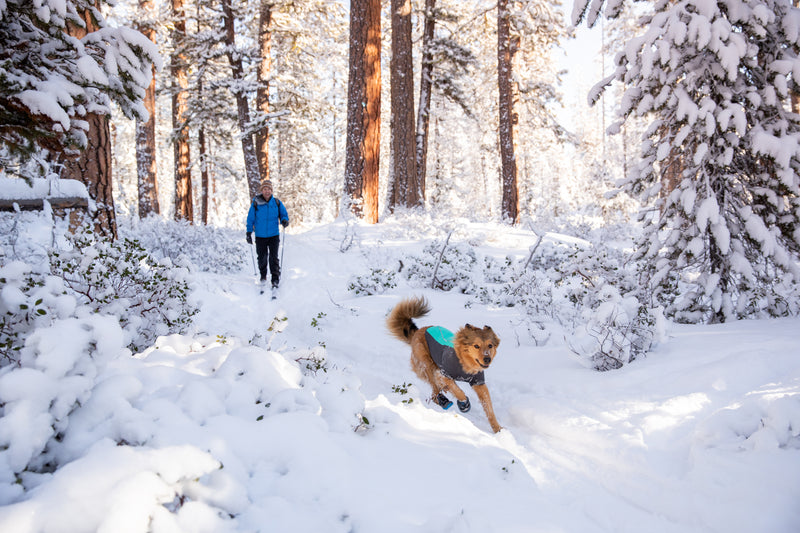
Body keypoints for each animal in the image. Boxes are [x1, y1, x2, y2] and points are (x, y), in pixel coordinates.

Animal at [386, 296, 504, 432]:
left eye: (490, 345)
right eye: (476, 346)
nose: (487, 359)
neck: (464, 364)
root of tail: (419, 331)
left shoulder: (479, 383)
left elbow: (488, 407)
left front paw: (498, 429)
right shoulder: (442, 374)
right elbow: (458, 391)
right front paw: (464, 404)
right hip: (427, 365)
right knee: (434, 390)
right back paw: (442, 401)